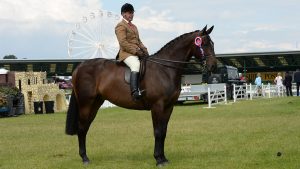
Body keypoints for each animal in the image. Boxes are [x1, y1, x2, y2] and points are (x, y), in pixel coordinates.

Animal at [65, 25, 217, 166]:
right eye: (203, 44)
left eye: (212, 43)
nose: (213, 67)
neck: (165, 69)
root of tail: (79, 67)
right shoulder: (157, 106)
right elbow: (158, 131)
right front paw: (158, 160)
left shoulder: (169, 107)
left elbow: (164, 132)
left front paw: (164, 158)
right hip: (86, 103)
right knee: (81, 128)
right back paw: (85, 158)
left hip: (96, 104)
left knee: (85, 128)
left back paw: (85, 157)